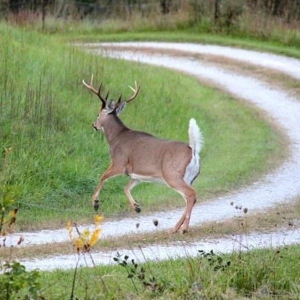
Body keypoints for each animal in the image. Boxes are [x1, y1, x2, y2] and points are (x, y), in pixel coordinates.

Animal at [82, 75, 204, 234]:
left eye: (98, 114)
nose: (94, 125)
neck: (115, 137)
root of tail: (193, 150)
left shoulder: (119, 162)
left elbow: (102, 176)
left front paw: (95, 203)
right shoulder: (136, 174)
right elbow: (126, 188)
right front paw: (137, 207)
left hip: (172, 174)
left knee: (191, 194)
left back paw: (183, 229)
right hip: (189, 178)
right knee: (190, 198)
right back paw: (175, 228)